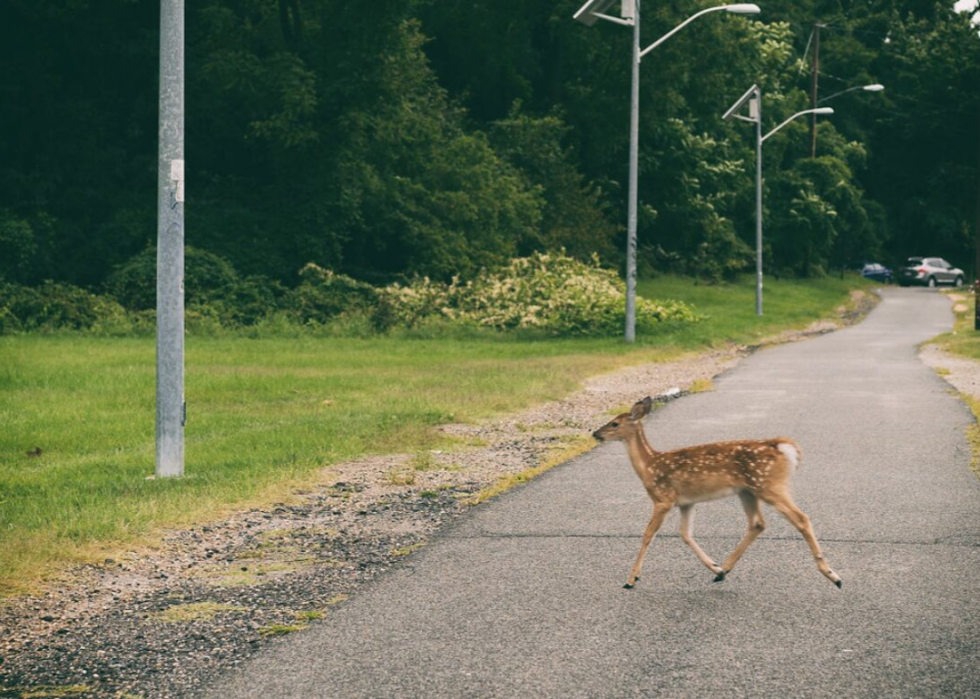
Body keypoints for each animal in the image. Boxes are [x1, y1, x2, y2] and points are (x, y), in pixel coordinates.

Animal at [588, 400, 844, 592]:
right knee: (758, 524)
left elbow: (648, 534)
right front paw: (715, 567)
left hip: (769, 485)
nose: (595, 433)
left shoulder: (663, 499)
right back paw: (723, 571)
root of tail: (782, 446)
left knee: (801, 518)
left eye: (614, 423)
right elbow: (685, 535)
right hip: (748, 490)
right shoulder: (686, 503)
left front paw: (631, 579)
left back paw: (834, 576)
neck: (649, 466)